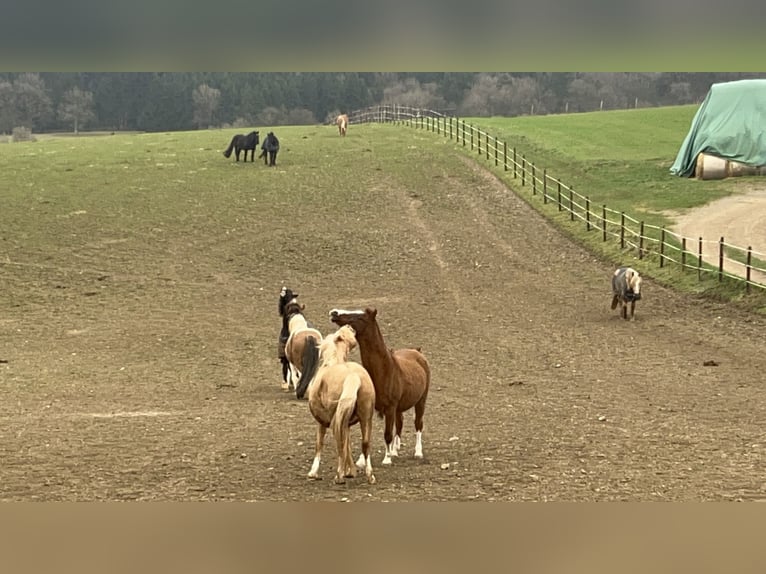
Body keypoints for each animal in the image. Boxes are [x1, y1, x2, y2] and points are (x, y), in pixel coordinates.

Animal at [307, 325, 376, 485]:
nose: (349, 326)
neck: (333, 362)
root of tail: (353, 376)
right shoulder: (346, 422)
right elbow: (348, 444)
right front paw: (351, 471)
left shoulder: (323, 422)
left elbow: (319, 444)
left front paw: (313, 472)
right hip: (365, 418)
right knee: (365, 444)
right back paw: (370, 476)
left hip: (336, 420)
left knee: (339, 443)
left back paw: (339, 476)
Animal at [329, 307, 430, 465]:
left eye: (361, 317)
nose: (334, 313)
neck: (385, 370)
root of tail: (417, 352)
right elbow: (366, 435)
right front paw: (362, 460)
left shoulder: (390, 408)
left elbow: (387, 434)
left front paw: (387, 459)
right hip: (399, 408)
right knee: (399, 424)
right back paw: (395, 451)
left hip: (420, 401)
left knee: (418, 424)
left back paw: (417, 452)